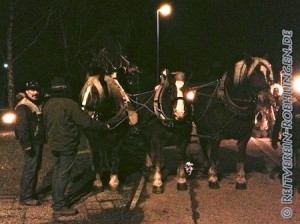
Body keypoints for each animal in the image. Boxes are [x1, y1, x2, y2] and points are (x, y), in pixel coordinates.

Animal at [191, 56, 276, 189]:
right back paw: (206, 165)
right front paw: (213, 178)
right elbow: (214, 156)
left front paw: (240, 179)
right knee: (204, 145)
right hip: (201, 129)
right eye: (254, 74)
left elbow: (241, 157)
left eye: (268, 74)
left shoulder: (244, 137)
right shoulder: (215, 135)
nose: (269, 100)